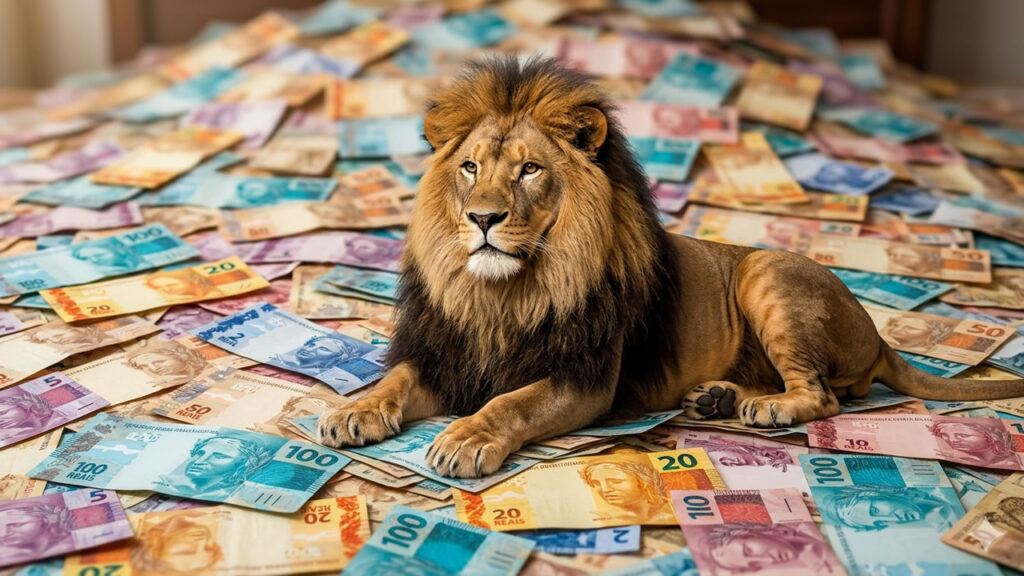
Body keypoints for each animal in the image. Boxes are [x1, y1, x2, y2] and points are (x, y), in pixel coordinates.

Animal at [317, 57, 1024, 478]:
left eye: (530, 170)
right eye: (469, 167)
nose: (482, 218)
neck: (504, 294)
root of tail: (878, 333)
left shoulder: (585, 381)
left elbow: (512, 402)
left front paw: (466, 437)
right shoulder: (448, 356)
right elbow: (396, 379)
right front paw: (353, 410)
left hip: (767, 270)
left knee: (825, 394)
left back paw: (764, 409)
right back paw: (719, 397)